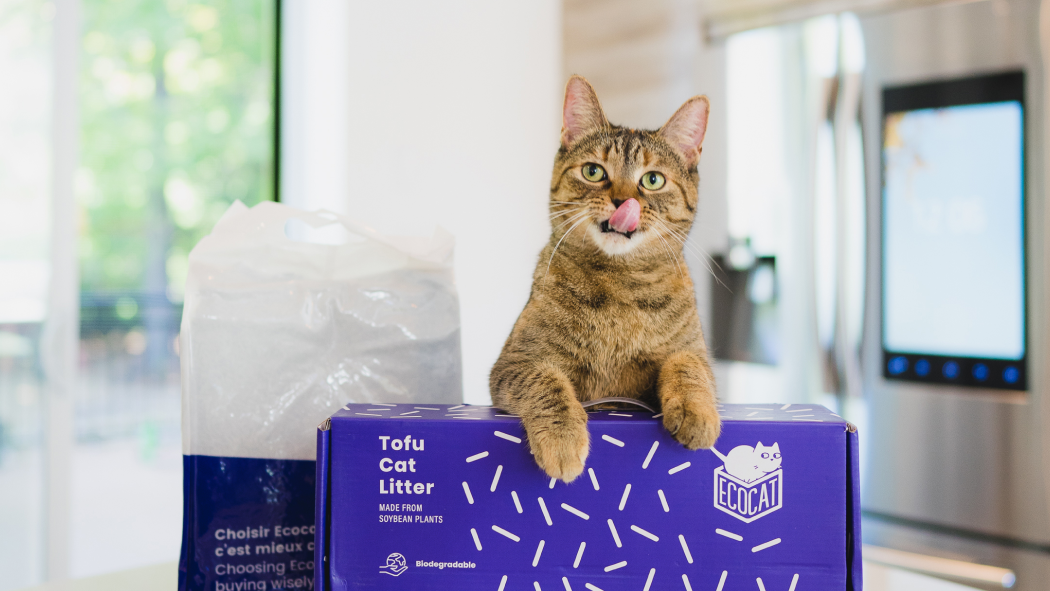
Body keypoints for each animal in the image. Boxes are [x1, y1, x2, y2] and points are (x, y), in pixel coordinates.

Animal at [491, 76, 722, 482]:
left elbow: (688, 366)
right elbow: (547, 381)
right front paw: (563, 439)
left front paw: (697, 414)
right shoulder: (514, 362)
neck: (620, 286)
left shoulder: (692, 352)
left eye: (652, 179)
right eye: (594, 172)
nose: (621, 202)